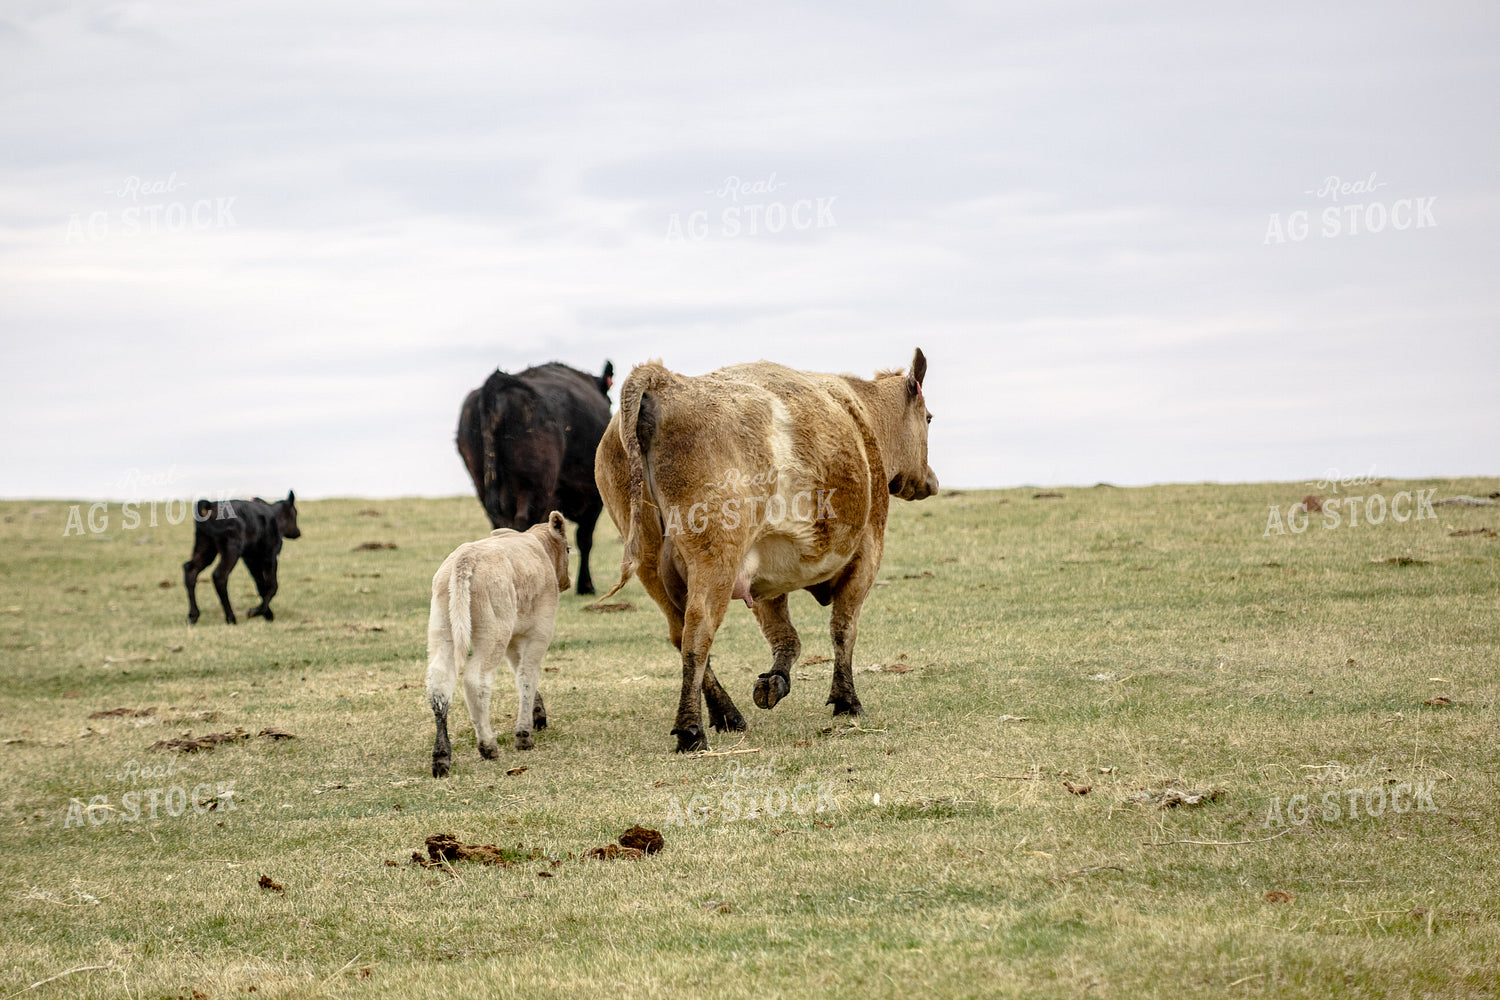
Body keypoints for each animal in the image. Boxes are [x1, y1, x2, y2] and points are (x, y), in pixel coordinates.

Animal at [183, 491, 301, 625]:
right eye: (295, 513)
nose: (298, 532)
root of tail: (210, 506)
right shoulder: (269, 555)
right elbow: (272, 585)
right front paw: (256, 611)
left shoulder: (250, 558)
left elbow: (261, 585)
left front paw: (266, 613)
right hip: (231, 548)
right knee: (219, 575)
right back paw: (230, 617)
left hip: (206, 546)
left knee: (190, 570)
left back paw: (193, 616)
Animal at [426, 512, 571, 777]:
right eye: (568, 549)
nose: (566, 582)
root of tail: (466, 557)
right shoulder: (539, 631)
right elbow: (527, 675)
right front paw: (524, 734)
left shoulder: (515, 637)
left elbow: (520, 671)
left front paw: (537, 714)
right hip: (493, 634)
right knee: (476, 682)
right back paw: (488, 746)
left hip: (442, 629)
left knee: (439, 685)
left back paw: (441, 756)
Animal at [456, 361, 613, 595]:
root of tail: (500, 382)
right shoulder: (594, 497)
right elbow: (585, 539)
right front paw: (586, 586)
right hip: (535, 484)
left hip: (482, 482)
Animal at [594, 350, 939, 752]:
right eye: (928, 418)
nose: (931, 481)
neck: (861, 416)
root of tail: (665, 381)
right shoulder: (868, 551)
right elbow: (843, 628)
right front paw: (846, 701)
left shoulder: (764, 580)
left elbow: (786, 637)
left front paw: (774, 682)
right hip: (717, 557)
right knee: (698, 632)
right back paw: (691, 729)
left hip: (651, 564)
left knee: (679, 633)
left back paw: (727, 714)